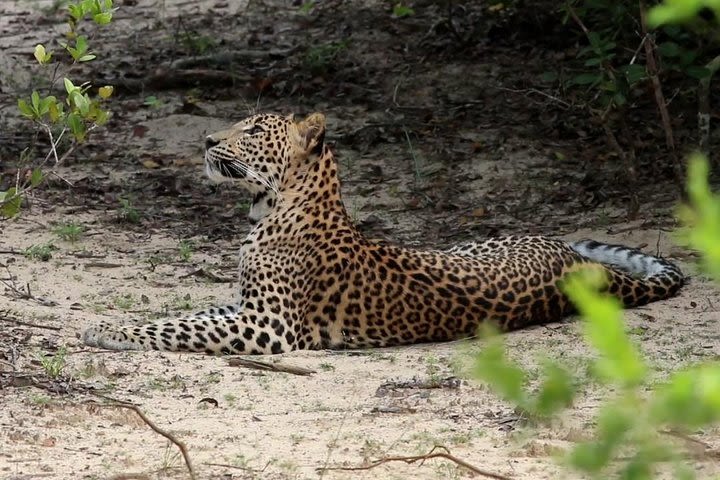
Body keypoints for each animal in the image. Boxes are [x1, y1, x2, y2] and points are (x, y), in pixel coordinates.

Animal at [81, 111, 684, 352]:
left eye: (251, 130)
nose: (206, 139)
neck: (270, 210)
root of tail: (573, 260)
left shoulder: (270, 325)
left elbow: (179, 328)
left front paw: (108, 332)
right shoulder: (245, 306)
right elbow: (185, 316)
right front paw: (114, 323)